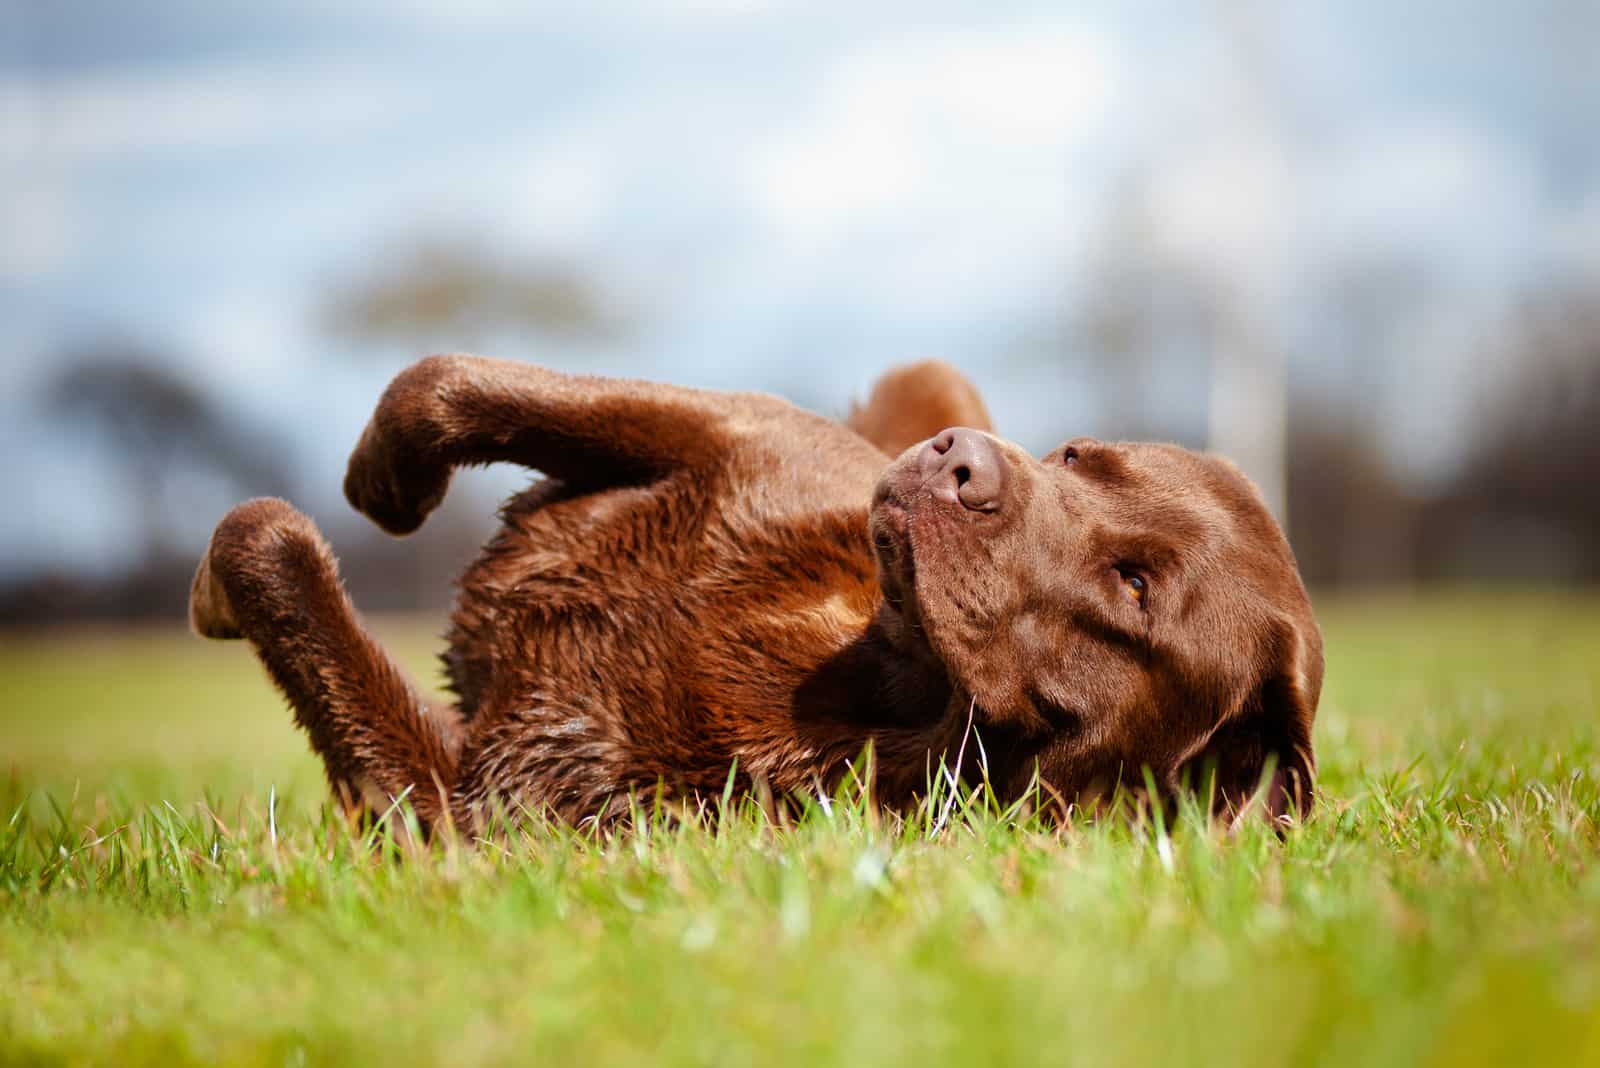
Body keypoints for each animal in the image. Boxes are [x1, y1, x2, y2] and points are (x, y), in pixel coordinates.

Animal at [187, 354, 1318, 831]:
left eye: (1134, 585)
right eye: (1077, 455)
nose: (962, 463)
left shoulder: (488, 819)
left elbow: (264, 543)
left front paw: (213, 590)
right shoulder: (737, 426)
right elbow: (439, 381)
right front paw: (383, 484)